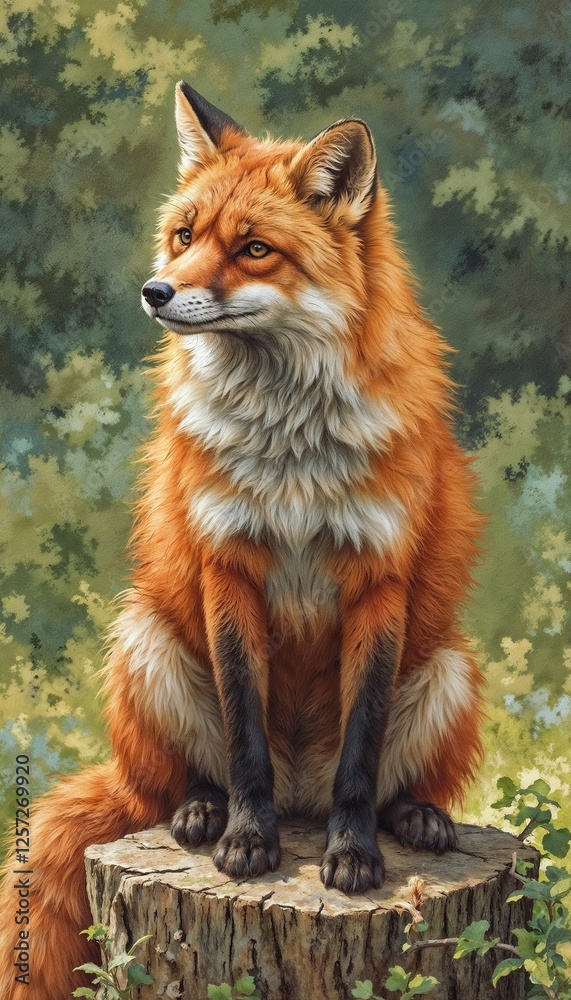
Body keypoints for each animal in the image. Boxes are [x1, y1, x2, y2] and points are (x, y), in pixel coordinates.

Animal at [0, 81, 484, 999]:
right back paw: (200, 811)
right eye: (185, 236)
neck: (289, 454)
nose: (155, 290)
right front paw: (247, 843)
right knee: (179, 780)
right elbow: (243, 732)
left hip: (448, 665)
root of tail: (303, 794)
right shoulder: (227, 567)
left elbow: (361, 751)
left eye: (254, 250)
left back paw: (416, 818)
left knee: (389, 780)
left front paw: (352, 856)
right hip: (143, 638)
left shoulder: (378, 580)